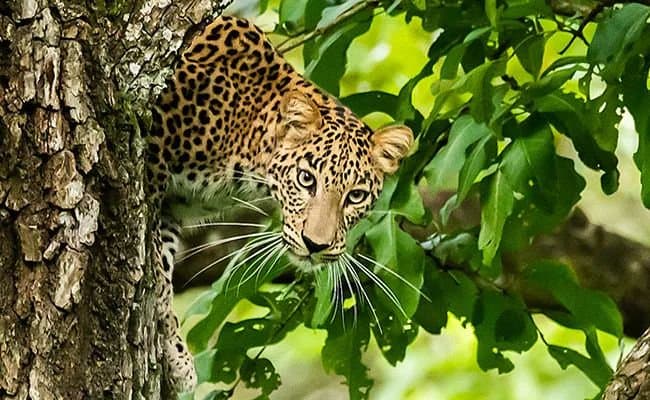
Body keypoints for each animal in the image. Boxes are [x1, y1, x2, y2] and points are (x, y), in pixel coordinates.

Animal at [145, 15, 413, 393]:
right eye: (306, 179)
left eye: (355, 196)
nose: (315, 245)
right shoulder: (153, 158)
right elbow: (155, 269)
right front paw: (173, 347)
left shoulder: (169, 207)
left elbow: (162, 263)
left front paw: (173, 352)